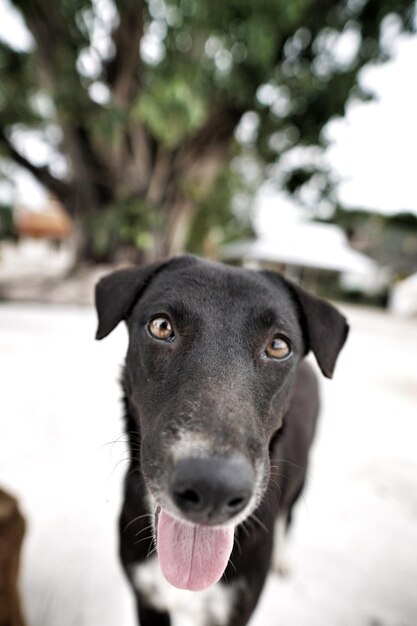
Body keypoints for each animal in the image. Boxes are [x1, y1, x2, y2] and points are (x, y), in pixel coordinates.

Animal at [95, 255, 348, 624]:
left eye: (278, 346)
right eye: (161, 327)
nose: (213, 488)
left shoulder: (237, 607)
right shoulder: (147, 598)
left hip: (302, 474)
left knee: (290, 515)